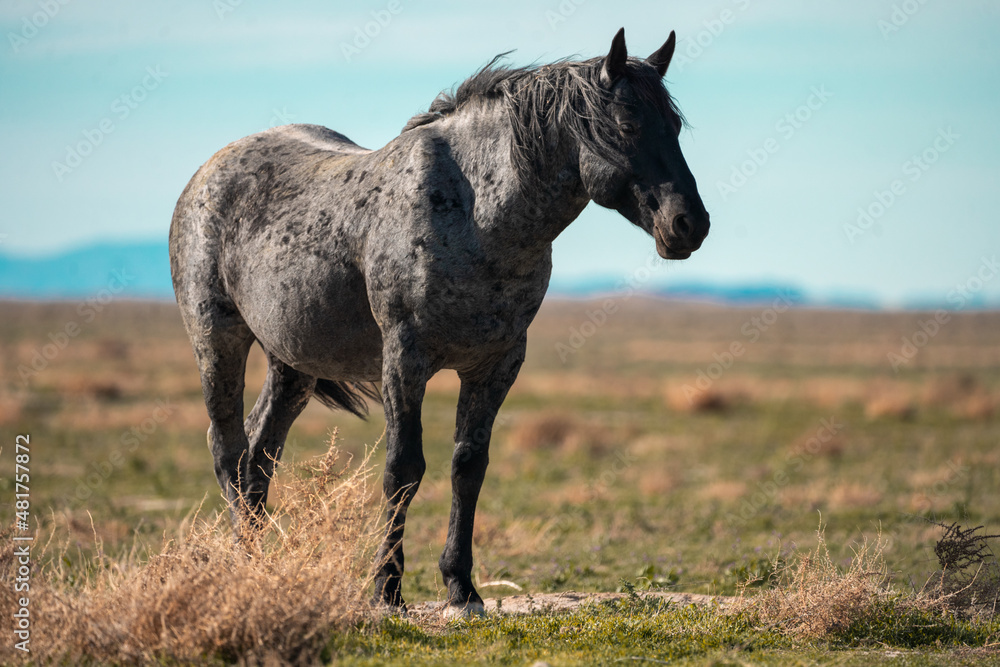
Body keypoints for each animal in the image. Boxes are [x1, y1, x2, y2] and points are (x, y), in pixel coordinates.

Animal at [169, 27, 710, 617]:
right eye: (628, 125)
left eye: (675, 126)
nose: (690, 224)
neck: (476, 214)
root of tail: (207, 172)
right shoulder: (405, 359)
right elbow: (403, 469)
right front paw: (387, 590)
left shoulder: (497, 364)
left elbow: (468, 467)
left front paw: (461, 588)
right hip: (217, 341)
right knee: (227, 450)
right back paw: (243, 568)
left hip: (292, 364)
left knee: (259, 458)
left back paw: (258, 567)